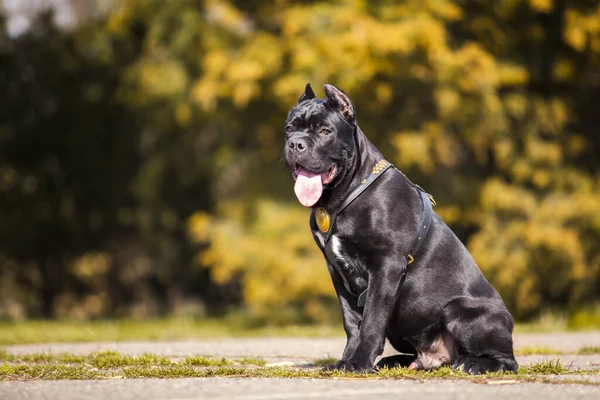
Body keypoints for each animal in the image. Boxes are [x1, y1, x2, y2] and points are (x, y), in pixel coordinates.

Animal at [284, 83, 516, 374]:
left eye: (325, 131)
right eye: (289, 129)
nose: (295, 144)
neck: (344, 194)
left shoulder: (386, 266)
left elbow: (372, 320)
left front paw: (359, 363)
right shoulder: (337, 272)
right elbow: (352, 322)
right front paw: (344, 361)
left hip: (458, 311)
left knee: (507, 360)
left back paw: (472, 363)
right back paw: (396, 361)